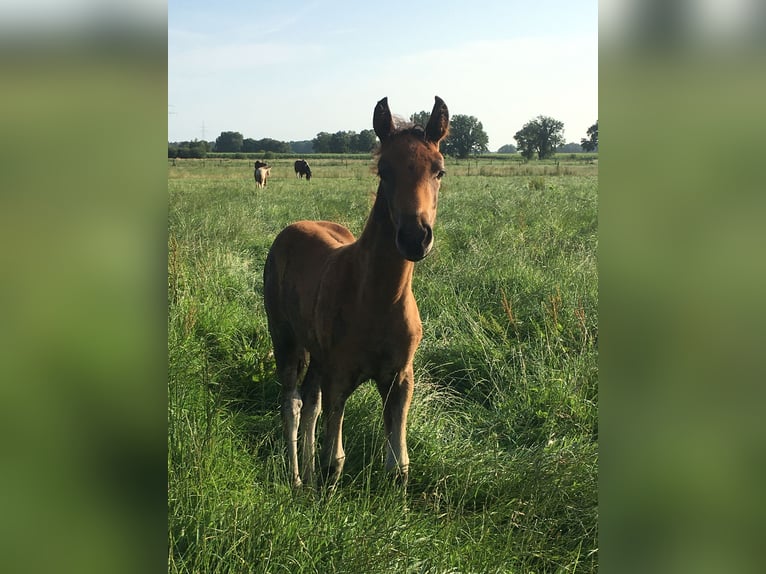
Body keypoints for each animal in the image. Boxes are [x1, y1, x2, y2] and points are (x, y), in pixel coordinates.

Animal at [264, 95, 450, 490]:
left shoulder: (400, 379)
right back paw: (297, 478)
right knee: (293, 402)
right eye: (384, 170)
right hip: (285, 338)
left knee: (310, 399)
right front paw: (321, 490)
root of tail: (294, 227)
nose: (415, 237)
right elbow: (335, 459)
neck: (378, 299)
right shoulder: (340, 376)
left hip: (318, 355)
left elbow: (399, 465)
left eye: (439, 170)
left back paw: (306, 472)